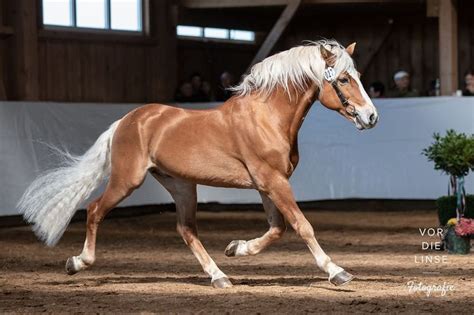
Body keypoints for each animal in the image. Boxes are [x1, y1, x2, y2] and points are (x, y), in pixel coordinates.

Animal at [18, 40, 378, 292]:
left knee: (186, 229)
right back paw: (78, 262)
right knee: (94, 210)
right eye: (344, 79)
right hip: (126, 180)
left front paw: (235, 248)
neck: (267, 117)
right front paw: (337, 272)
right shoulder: (273, 181)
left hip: (181, 185)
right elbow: (302, 226)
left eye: (359, 77)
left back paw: (220, 276)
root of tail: (127, 120)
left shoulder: (268, 184)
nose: (371, 116)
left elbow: (277, 229)